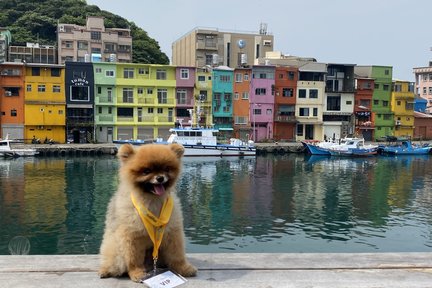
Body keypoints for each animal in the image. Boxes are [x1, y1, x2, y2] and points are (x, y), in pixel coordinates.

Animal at [98, 143, 197, 282]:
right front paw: (137, 273)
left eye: (166, 169)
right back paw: (106, 270)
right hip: (114, 247)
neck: (152, 200)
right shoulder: (132, 236)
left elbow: (177, 254)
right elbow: (133, 259)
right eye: (146, 171)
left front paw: (183, 268)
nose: (160, 178)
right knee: (115, 261)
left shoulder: (172, 232)